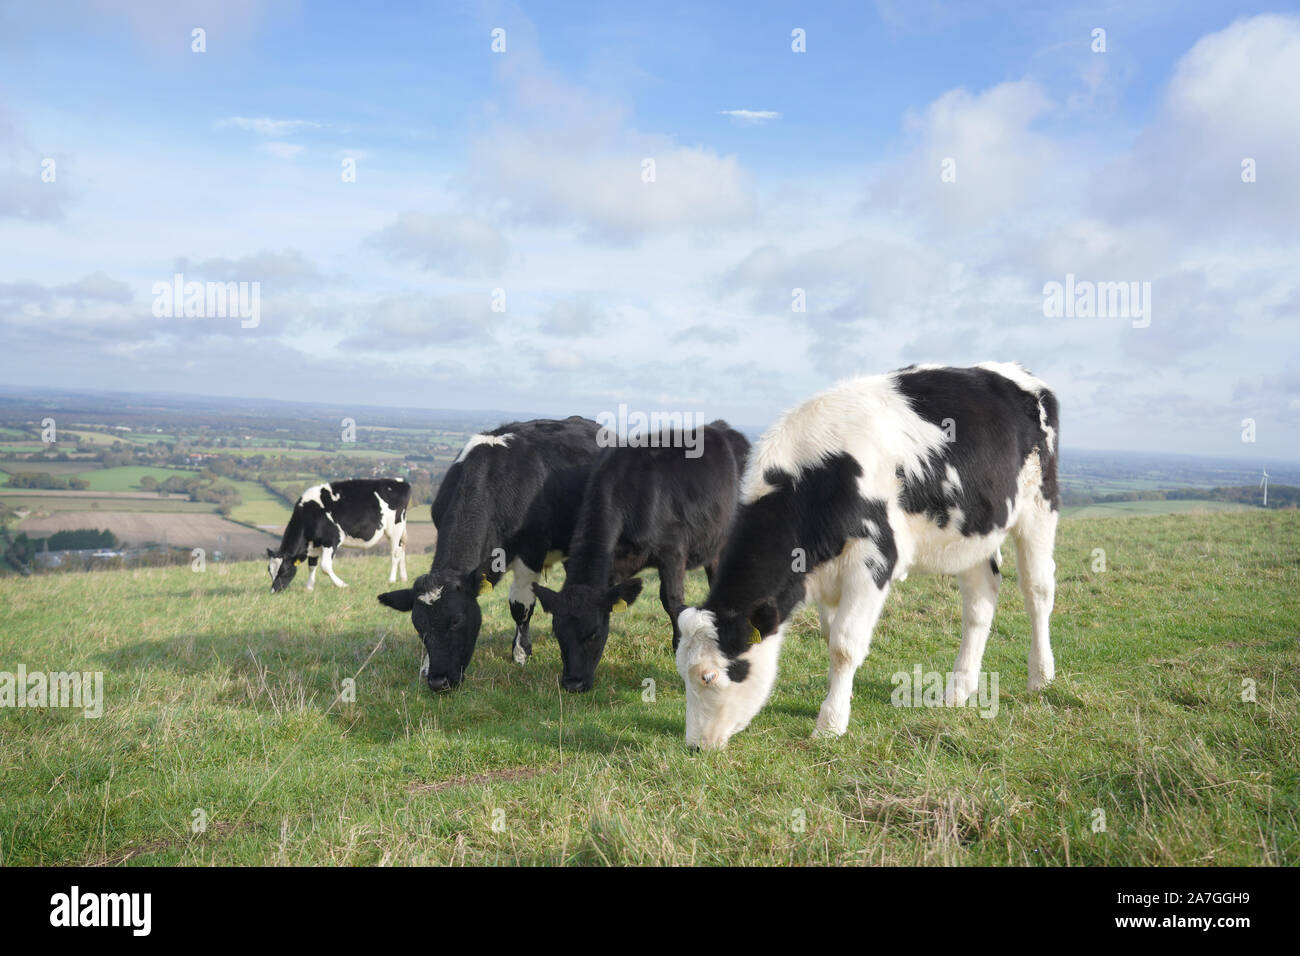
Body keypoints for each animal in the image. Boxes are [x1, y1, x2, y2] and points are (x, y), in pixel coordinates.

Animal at [267, 478, 410, 593]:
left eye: (284, 571)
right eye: (269, 571)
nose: (274, 591)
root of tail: (400, 481)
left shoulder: (331, 540)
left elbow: (325, 567)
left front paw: (342, 585)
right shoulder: (314, 544)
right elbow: (312, 566)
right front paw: (309, 588)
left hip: (394, 529)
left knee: (395, 553)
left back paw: (391, 580)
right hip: (400, 529)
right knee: (402, 549)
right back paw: (403, 578)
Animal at [376, 417, 601, 692]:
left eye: (456, 620)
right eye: (419, 626)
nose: (438, 681)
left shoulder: (531, 550)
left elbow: (520, 606)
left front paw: (521, 653)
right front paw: (425, 665)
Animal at [675, 363, 1060, 749]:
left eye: (708, 676)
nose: (694, 744)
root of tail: (1017, 373)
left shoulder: (872, 559)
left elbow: (844, 644)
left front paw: (830, 723)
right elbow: (829, 635)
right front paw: (842, 697)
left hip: (1039, 506)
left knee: (1037, 592)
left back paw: (1041, 676)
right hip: (972, 531)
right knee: (980, 601)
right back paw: (958, 690)